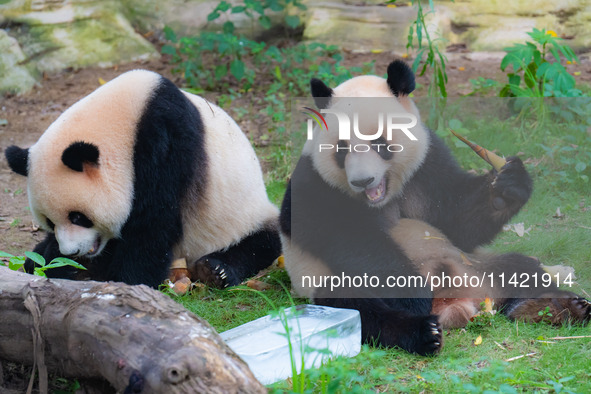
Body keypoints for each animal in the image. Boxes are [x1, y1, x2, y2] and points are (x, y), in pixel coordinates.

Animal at [4, 70, 282, 286]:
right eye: (49, 222)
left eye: (78, 217)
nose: (71, 251)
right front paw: (58, 262)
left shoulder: (165, 145)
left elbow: (153, 224)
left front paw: (126, 280)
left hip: (241, 216)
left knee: (262, 243)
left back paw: (216, 270)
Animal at [282, 60, 591, 356]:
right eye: (342, 149)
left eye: (380, 142)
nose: (362, 180)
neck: (383, 198)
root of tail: (455, 305)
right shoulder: (314, 184)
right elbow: (351, 238)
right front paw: (413, 293)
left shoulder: (429, 163)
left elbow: (457, 222)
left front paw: (508, 185)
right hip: (331, 284)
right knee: (362, 311)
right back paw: (424, 332)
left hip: (477, 264)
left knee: (520, 269)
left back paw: (555, 308)